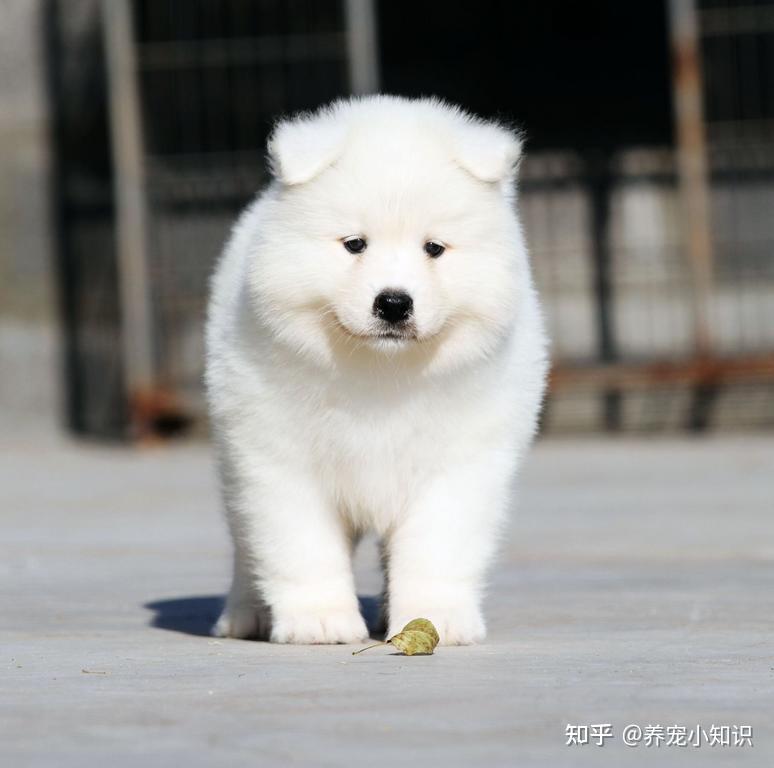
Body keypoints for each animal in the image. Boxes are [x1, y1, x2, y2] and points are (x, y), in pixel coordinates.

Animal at [205, 97, 544, 648]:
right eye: (355, 244)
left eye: (434, 248)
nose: (393, 303)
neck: (381, 372)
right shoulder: (277, 459)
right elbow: (300, 545)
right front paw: (320, 621)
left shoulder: (459, 463)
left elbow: (437, 548)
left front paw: (435, 618)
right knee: (244, 543)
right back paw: (243, 616)